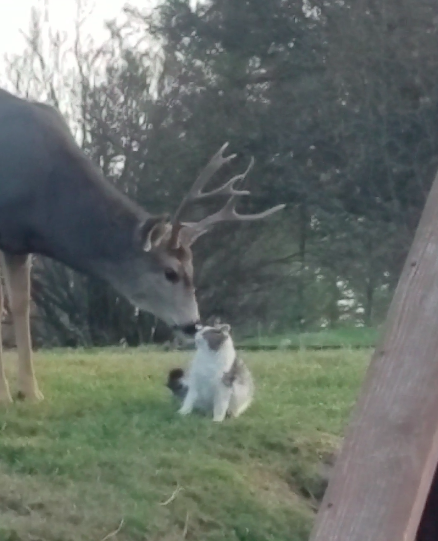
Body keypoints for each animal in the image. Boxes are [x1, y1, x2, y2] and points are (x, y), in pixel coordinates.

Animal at [0, 88, 284, 405]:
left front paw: (31, 393)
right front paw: (6, 395)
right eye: (170, 272)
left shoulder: (19, 244)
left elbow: (20, 306)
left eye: (193, 269)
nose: (192, 324)